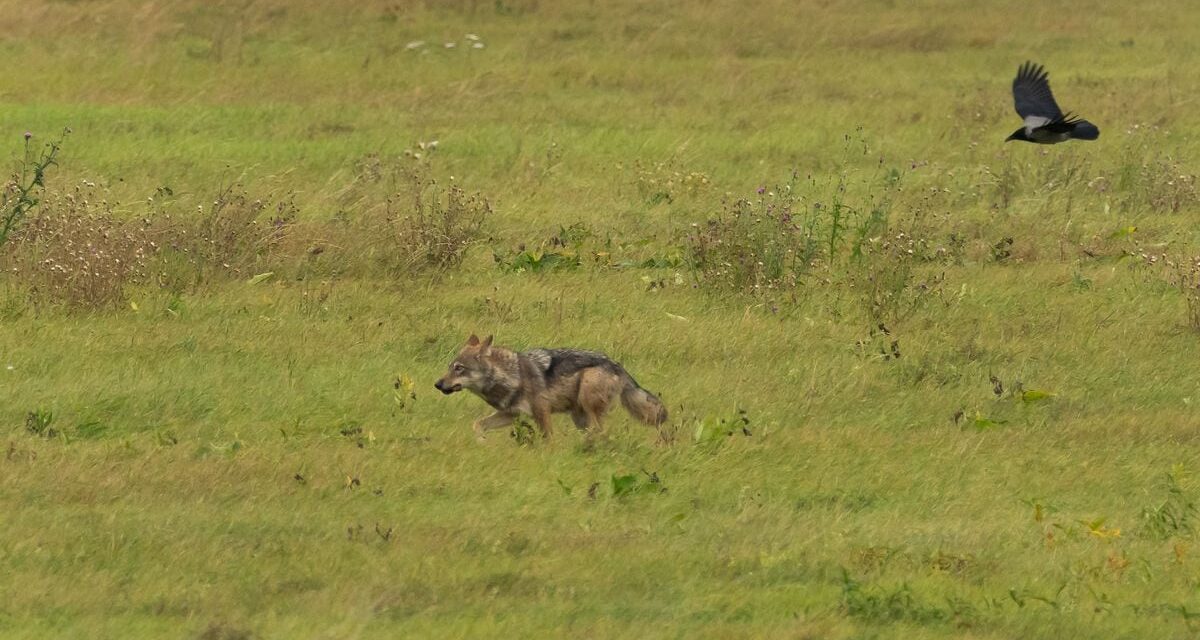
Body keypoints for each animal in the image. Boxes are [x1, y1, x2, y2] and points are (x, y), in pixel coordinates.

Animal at [434, 334, 668, 440]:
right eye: (450, 367)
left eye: (459, 369)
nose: (437, 384)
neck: (512, 375)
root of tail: (616, 365)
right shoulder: (511, 414)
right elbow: (478, 425)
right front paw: (482, 442)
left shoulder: (542, 413)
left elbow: (548, 440)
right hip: (579, 417)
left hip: (587, 405)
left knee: (601, 432)